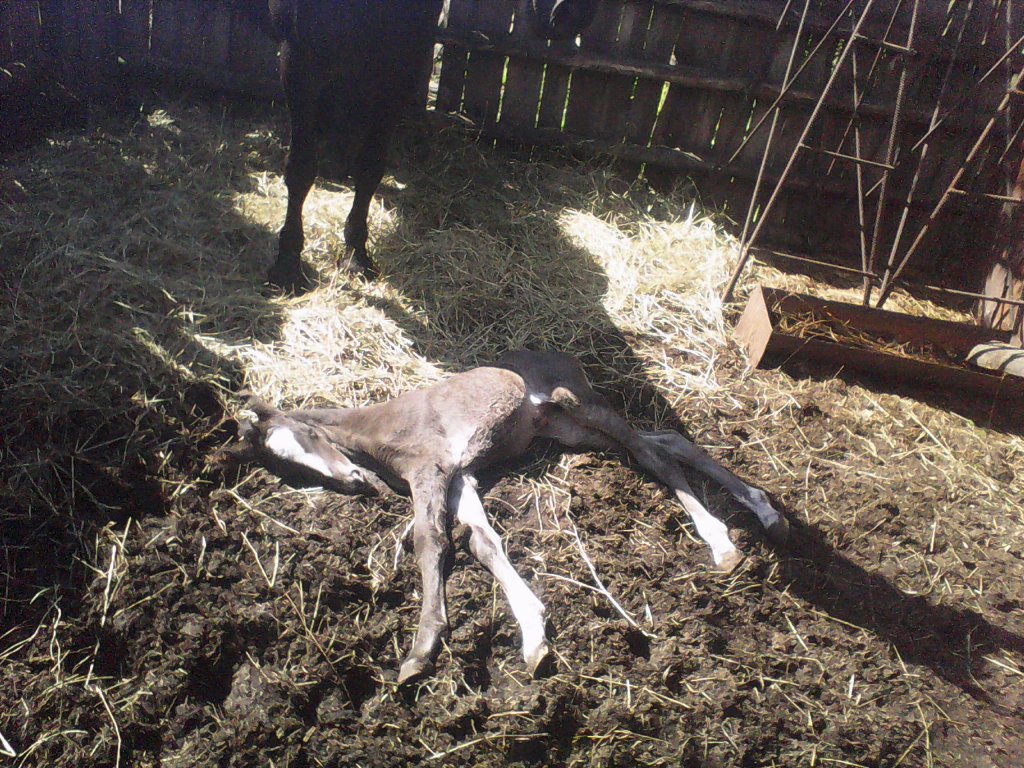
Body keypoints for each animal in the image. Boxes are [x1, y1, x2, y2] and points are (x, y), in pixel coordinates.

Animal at [212, 351, 788, 684]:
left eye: (303, 440)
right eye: (284, 467)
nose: (353, 483)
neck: (378, 428)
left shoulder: (431, 467)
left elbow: (430, 542)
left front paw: (420, 650)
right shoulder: (460, 476)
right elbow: (483, 543)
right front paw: (534, 636)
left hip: (579, 405)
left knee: (656, 454)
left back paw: (726, 542)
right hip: (564, 429)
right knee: (666, 442)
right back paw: (761, 513)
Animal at [263, 1, 598, 291]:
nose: (572, 13)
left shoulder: (397, 68)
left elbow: (370, 168)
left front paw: (356, 255)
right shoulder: (299, 62)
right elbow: (301, 171)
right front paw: (288, 265)